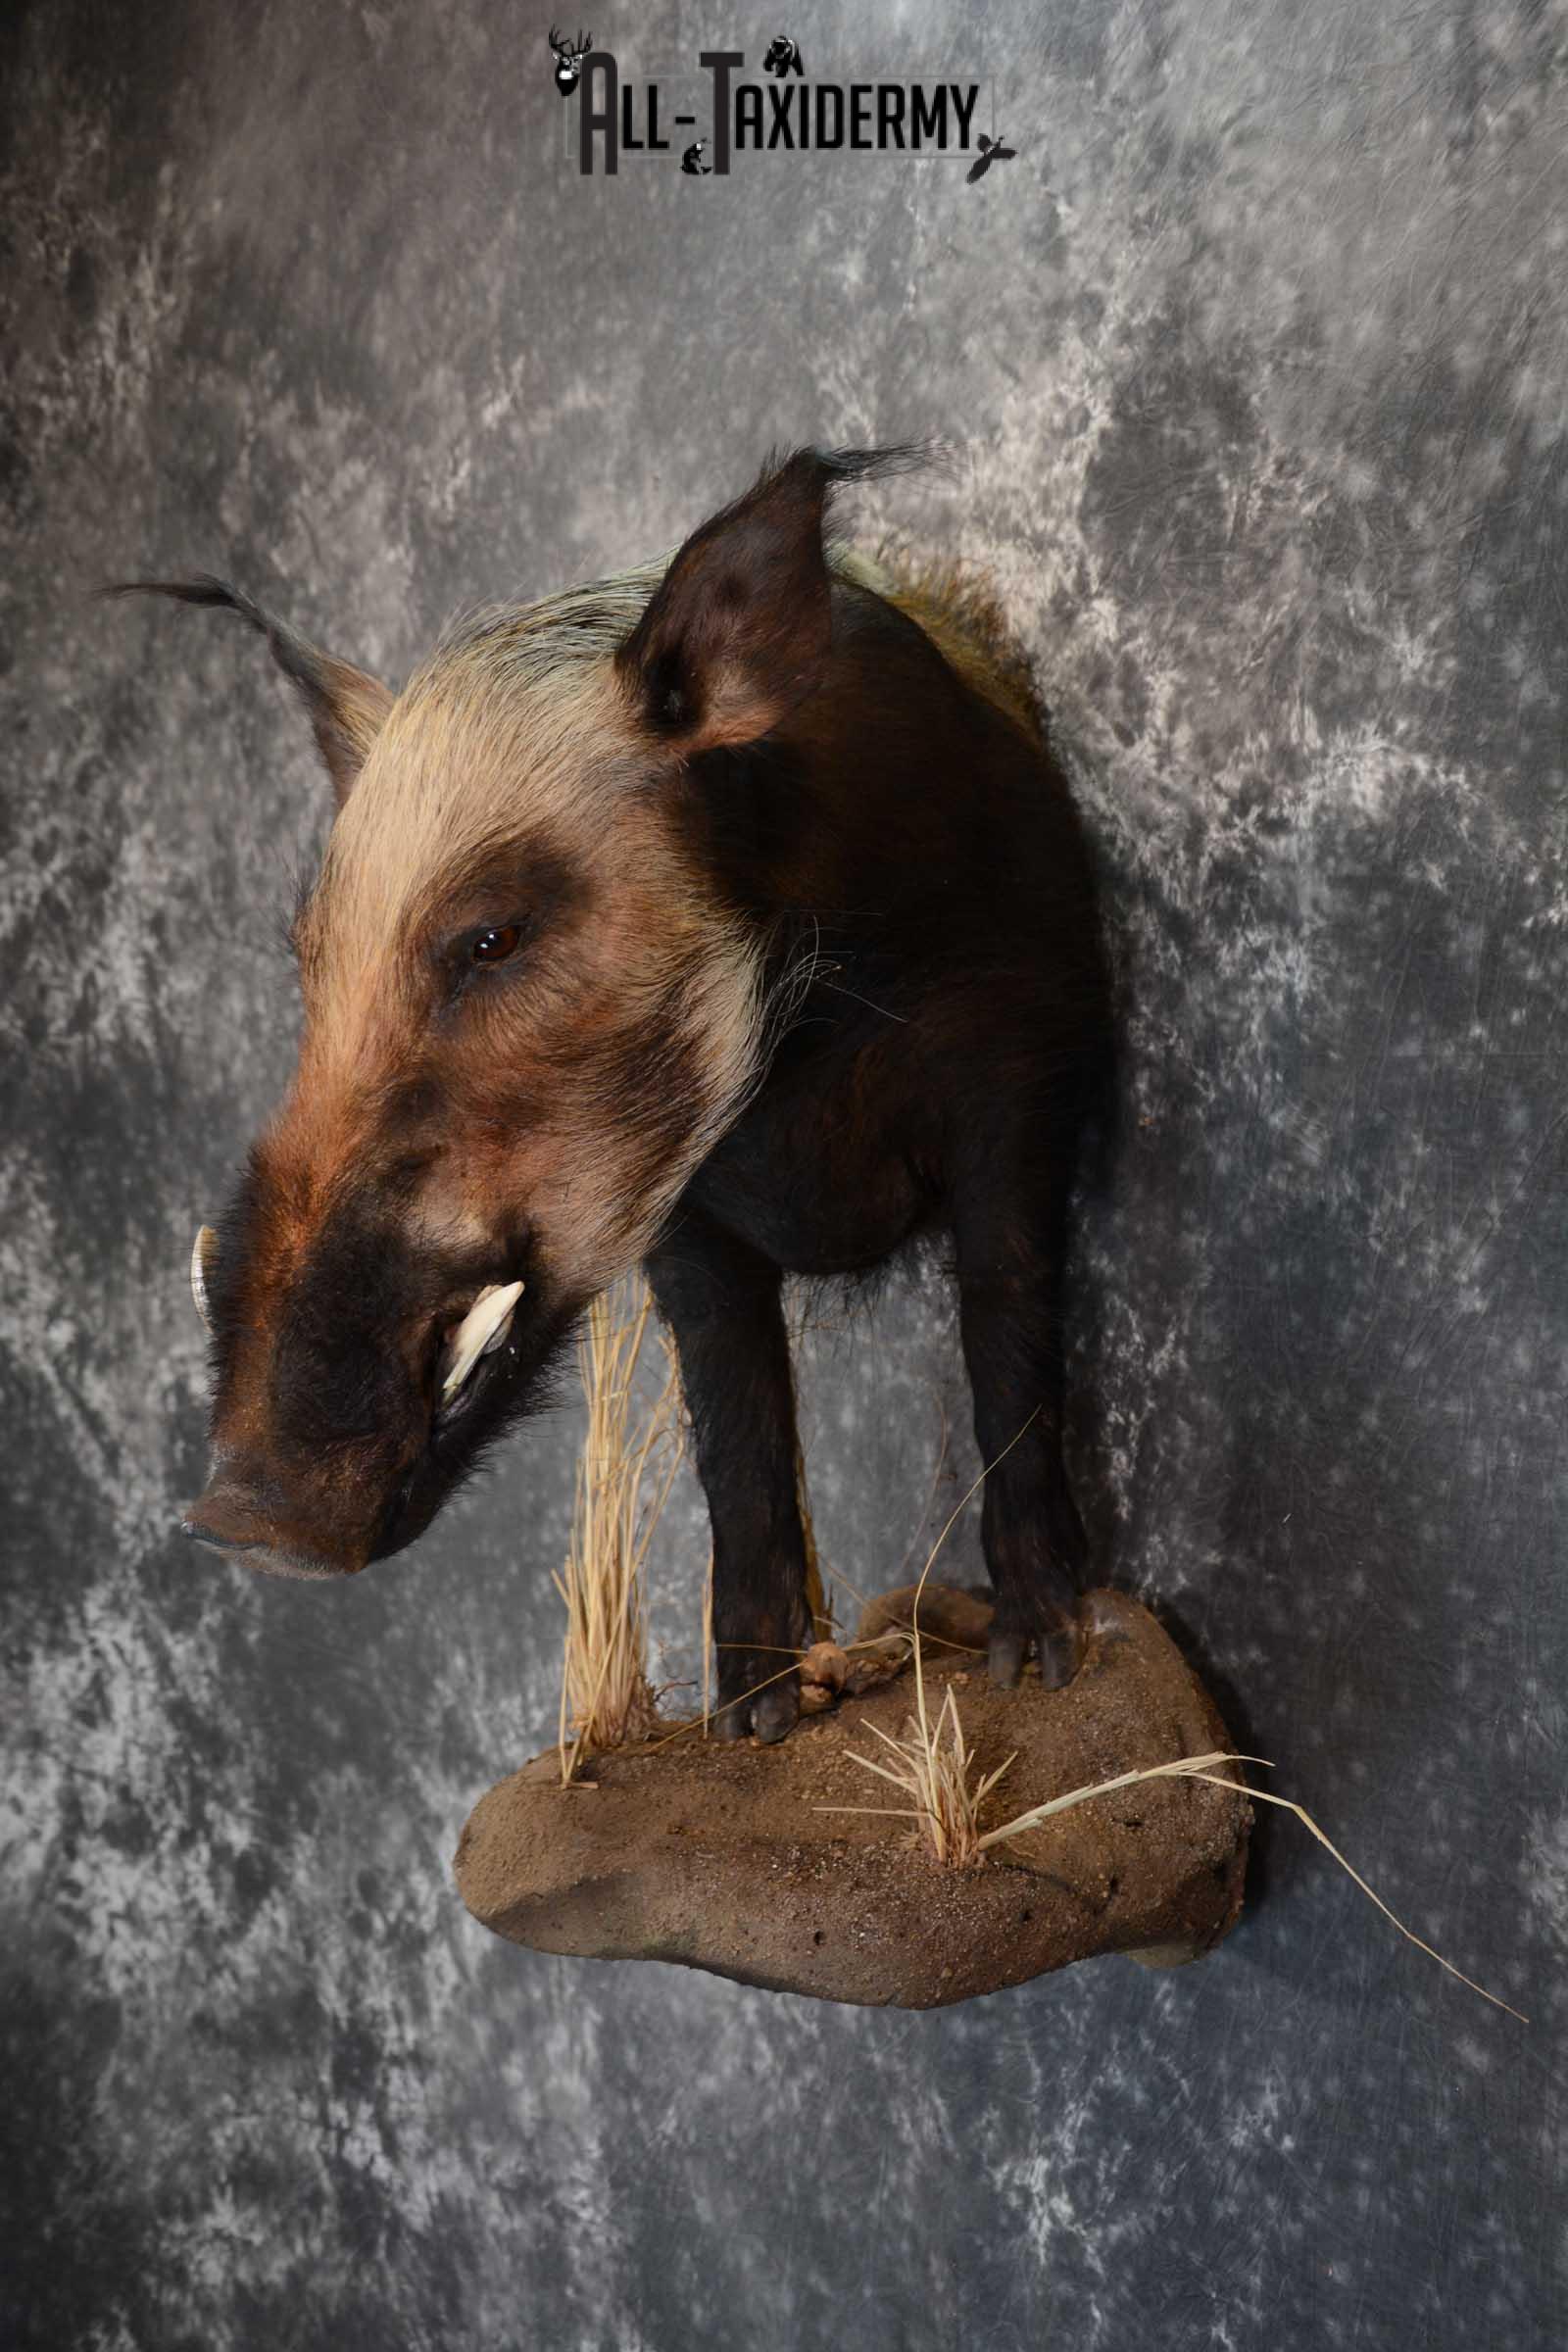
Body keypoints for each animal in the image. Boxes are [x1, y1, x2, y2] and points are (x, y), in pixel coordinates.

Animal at [118, 446, 1111, 1741]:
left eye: (491, 937)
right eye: (305, 953)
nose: (235, 1520)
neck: (808, 1053)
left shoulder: (1020, 1077)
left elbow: (1008, 1338)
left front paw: (1043, 1663)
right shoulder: (688, 1219)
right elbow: (735, 1425)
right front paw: (754, 1720)